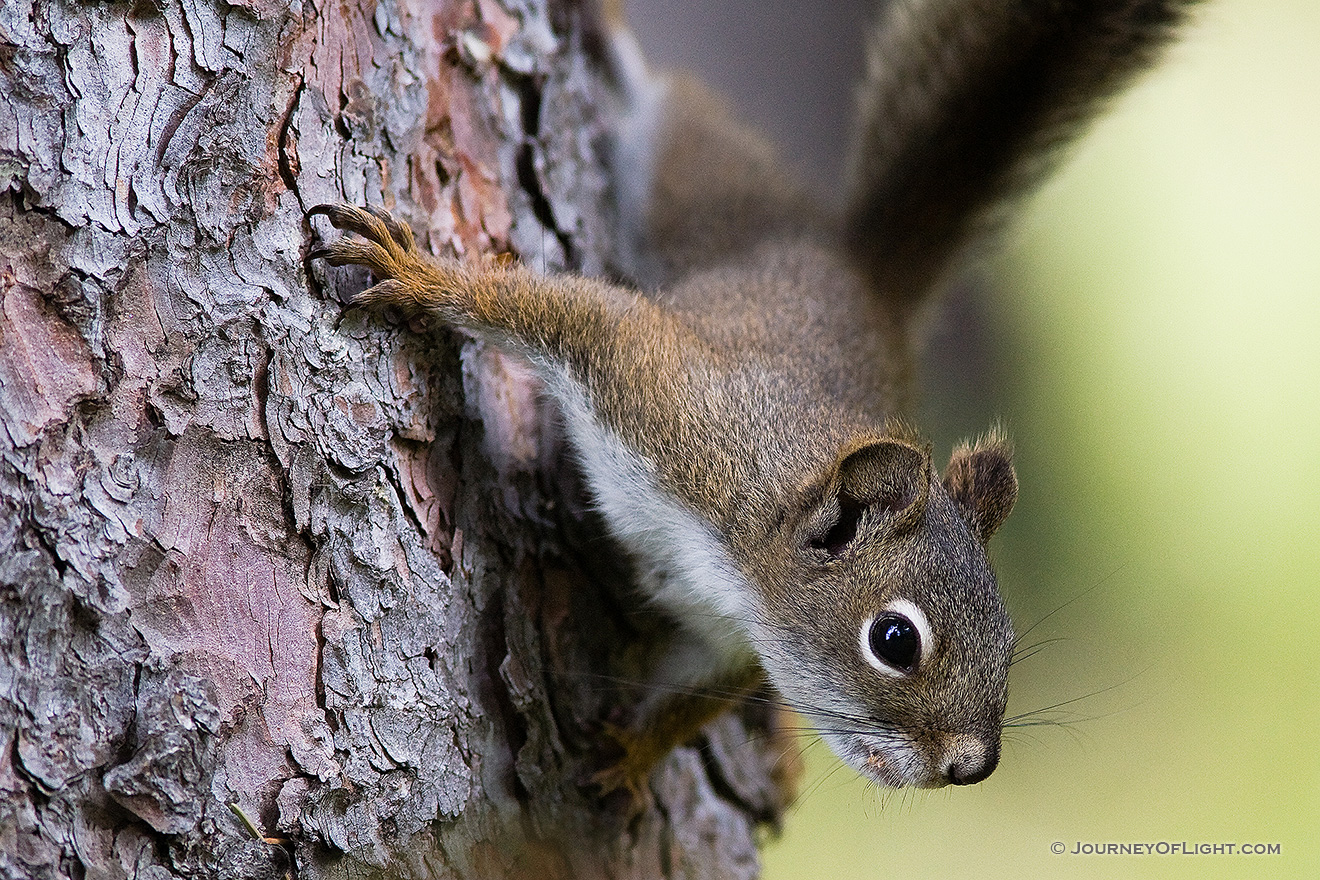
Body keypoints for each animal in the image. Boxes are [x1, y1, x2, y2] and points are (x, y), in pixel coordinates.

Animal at [306, 0, 1198, 796]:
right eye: (895, 640)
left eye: (1007, 641)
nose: (972, 765)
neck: (736, 562)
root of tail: (857, 277)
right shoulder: (664, 392)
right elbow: (572, 314)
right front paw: (424, 276)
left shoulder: (733, 641)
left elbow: (700, 699)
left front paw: (633, 757)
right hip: (706, 201)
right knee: (677, 111)